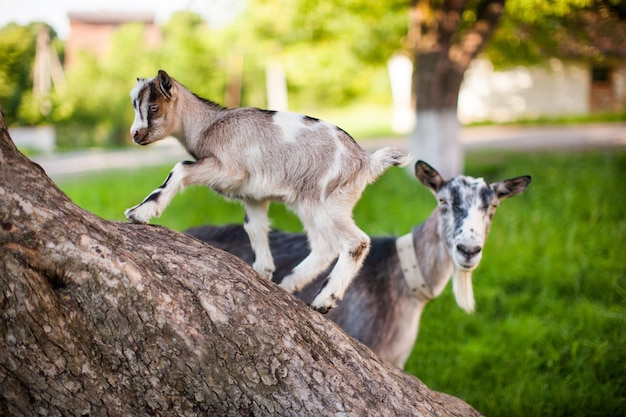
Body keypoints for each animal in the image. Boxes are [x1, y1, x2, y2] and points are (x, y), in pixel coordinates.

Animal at [124, 69, 412, 312]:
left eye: (153, 106)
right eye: (136, 106)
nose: (135, 134)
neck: (209, 125)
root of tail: (367, 162)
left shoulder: (229, 170)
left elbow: (180, 168)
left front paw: (140, 212)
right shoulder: (253, 196)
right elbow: (254, 227)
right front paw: (263, 272)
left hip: (324, 201)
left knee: (356, 242)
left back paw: (324, 300)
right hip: (313, 204)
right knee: (324, 246)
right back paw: (289, 284)